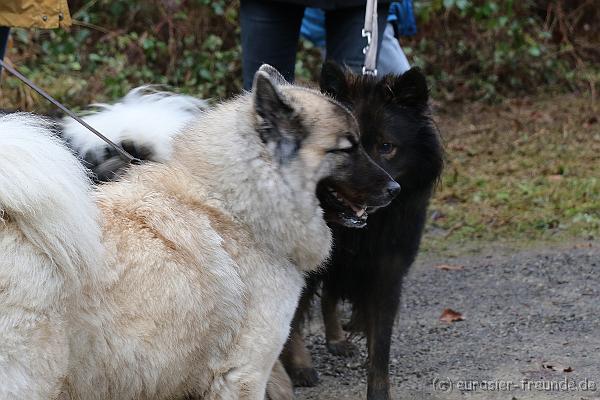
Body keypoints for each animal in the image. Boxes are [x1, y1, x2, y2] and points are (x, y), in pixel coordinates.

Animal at [282, 62, 446, 400]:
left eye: (386, 147)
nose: (389, 190)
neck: (359, 230)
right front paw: (299, 364)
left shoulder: (387, 275)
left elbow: (380, 345)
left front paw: (379, 391)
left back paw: (335, 339)